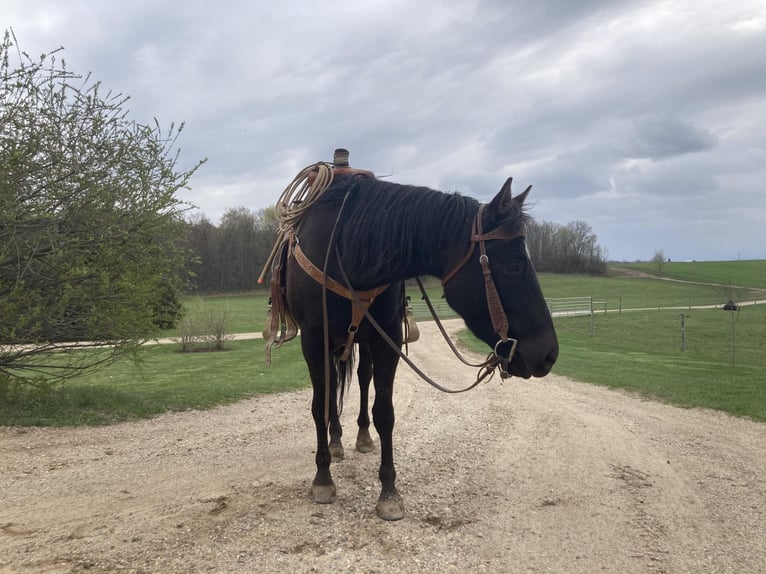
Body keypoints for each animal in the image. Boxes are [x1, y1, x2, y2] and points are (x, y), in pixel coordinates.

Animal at [282, 172, 560, 520]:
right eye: (514, 266)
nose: (549, 353)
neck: (347, 249)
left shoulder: (385, 340)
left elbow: (384, 412)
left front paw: (389, 491)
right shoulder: (313, 340)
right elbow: (319, 407)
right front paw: (322, 478)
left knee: (361, 380)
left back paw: (359, 437)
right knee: (332, 389)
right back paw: (335, 442)